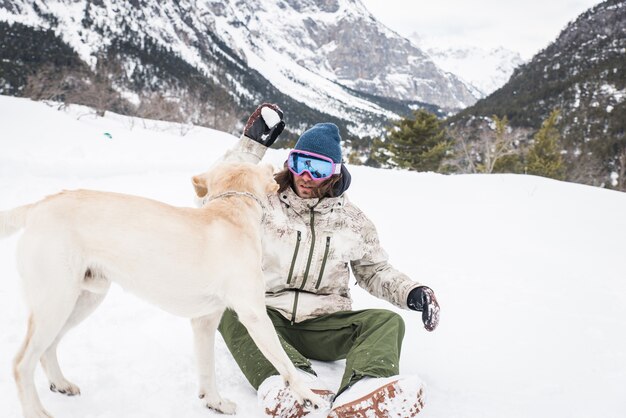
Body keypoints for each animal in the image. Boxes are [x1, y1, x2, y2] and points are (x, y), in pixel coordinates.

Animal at [0, 162, 322, 418]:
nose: (279, 168)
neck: (232, 207)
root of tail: (38, 206)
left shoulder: (205, 321)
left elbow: (207, 368)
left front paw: (214, 402)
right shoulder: (254, 315)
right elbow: (285, 364)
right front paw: (308, 395)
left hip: (84, 299)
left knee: (47, 349)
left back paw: (61, 383)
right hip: (57, 302)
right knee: (21, 363)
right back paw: (36, 411)